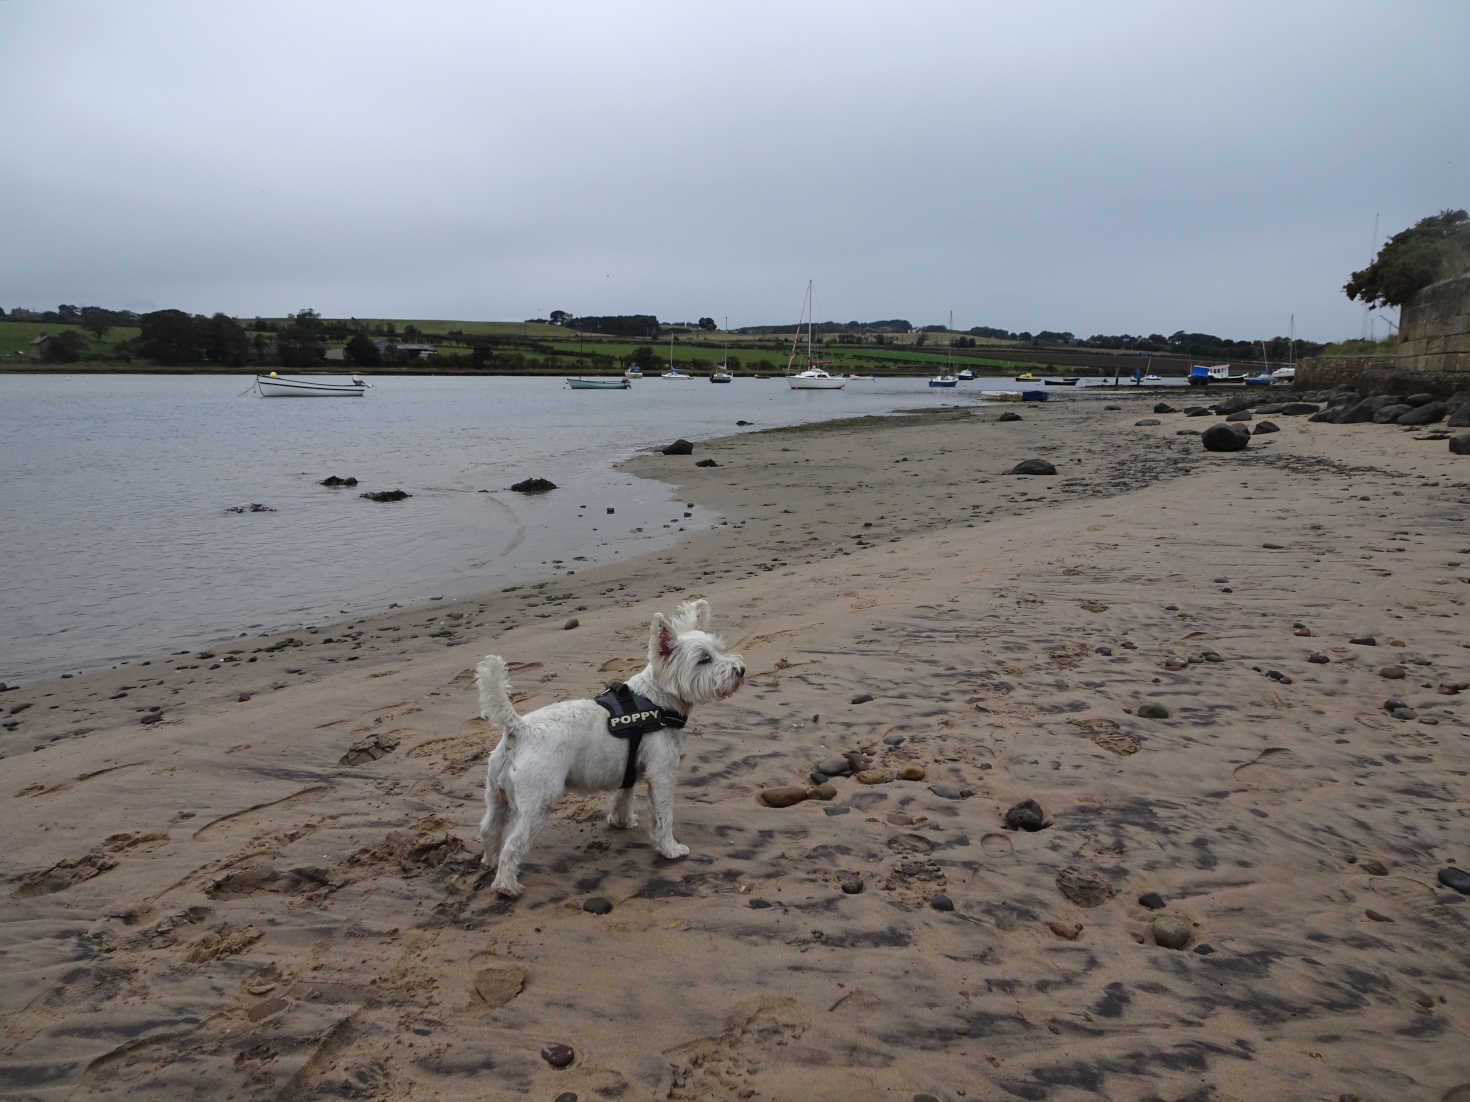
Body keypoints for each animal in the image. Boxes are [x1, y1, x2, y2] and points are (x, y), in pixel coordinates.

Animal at [473, 599, 740, 899]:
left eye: (719, 650)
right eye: (704, 659)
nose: (740, 671)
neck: (656, 701)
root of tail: (518, 728)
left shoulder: (629, 769)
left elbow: (623, 797)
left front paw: (621, 821)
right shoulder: (662, 773)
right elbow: (663, 815)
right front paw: (670, 848)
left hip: (495, 794)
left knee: (489, 830)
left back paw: (490, 861)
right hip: (537, 803)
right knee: (513, 844)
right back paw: (506, 885)